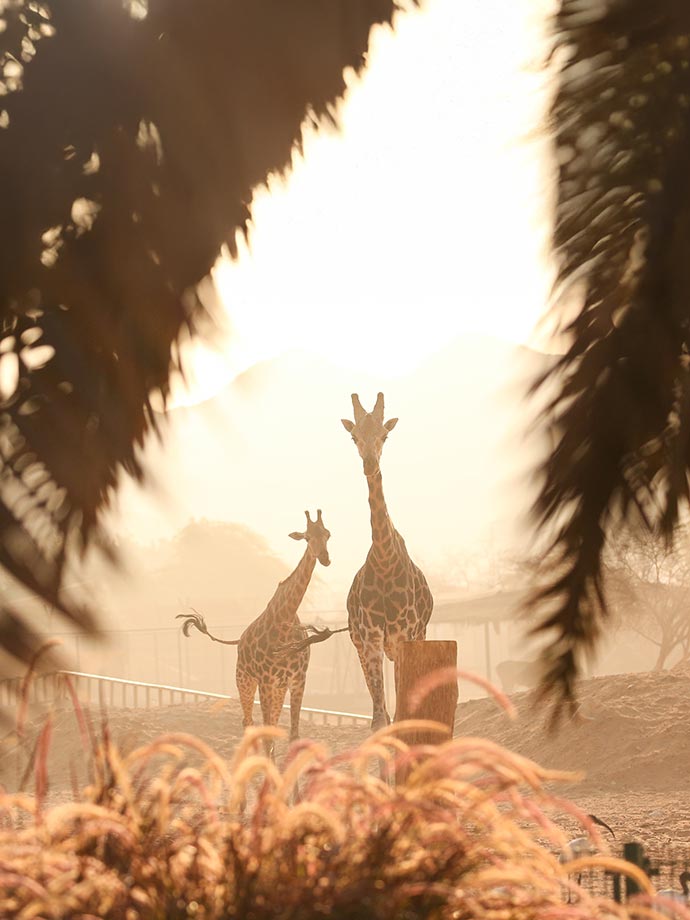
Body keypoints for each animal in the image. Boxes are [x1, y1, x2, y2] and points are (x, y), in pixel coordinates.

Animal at [177, 510, 331, 751]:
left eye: (327, 534)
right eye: (307, 537)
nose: (324, 558)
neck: (285, 619)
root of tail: (238, 641)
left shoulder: (297, 680)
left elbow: (293, 735)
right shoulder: (265, 680)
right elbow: (266, 734)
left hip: (277, 687)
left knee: (268, 725)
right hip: (244, 680)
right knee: (248, 722)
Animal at [342, 392, 433, 730]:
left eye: (385, 435)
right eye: (354, 436)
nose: (370, 465)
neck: (384, 561)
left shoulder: (405, 636)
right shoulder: (370, 639)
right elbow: (380, 719)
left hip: (418, 636)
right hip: (361, 644)